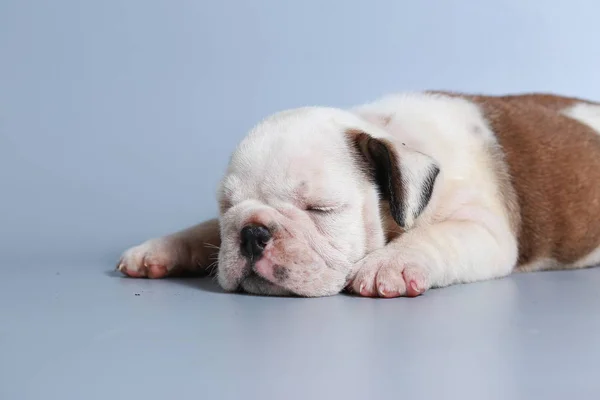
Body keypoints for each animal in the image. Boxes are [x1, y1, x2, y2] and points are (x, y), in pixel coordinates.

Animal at [115, 90, 600, 296]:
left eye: (321, 209)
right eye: (227, 207)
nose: (252, 233)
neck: (385, 131)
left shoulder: (482, 230)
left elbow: (431, 237)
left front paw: (388, 264)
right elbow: (203, 232)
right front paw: (161, 249)